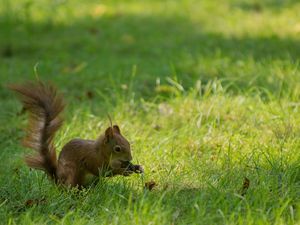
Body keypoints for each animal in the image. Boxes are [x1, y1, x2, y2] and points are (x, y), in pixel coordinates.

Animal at [9, 81, 144, 187]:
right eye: (117, 149)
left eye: (128, 143)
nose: (130, 158)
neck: (101, 152)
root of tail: (59, 182)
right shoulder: (92, 159)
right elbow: (103, 171)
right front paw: (123, 171)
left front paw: (136, 167)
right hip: (73, 174)